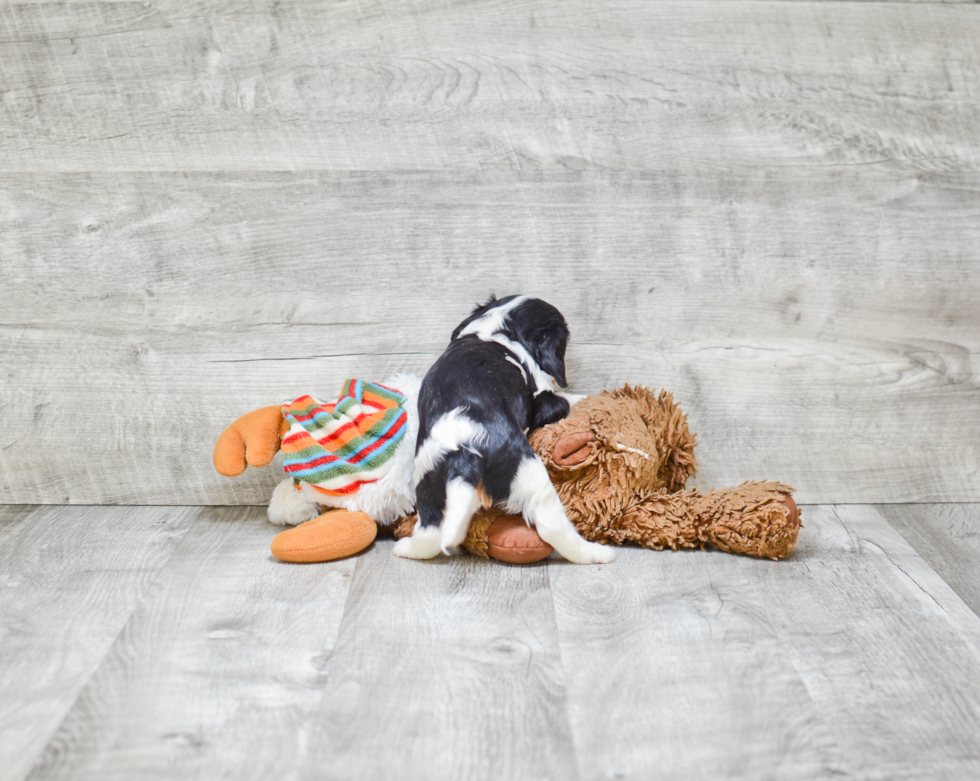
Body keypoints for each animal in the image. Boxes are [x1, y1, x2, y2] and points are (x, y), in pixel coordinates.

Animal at [390, 292, 612, 560]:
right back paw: (598, 553)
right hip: (531, 476)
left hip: (429, 486)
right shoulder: (544, 400)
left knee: (430, 534)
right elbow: (565, 400)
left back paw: (405, 548)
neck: (497, 329)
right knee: (553, 527)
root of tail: (466, 455)